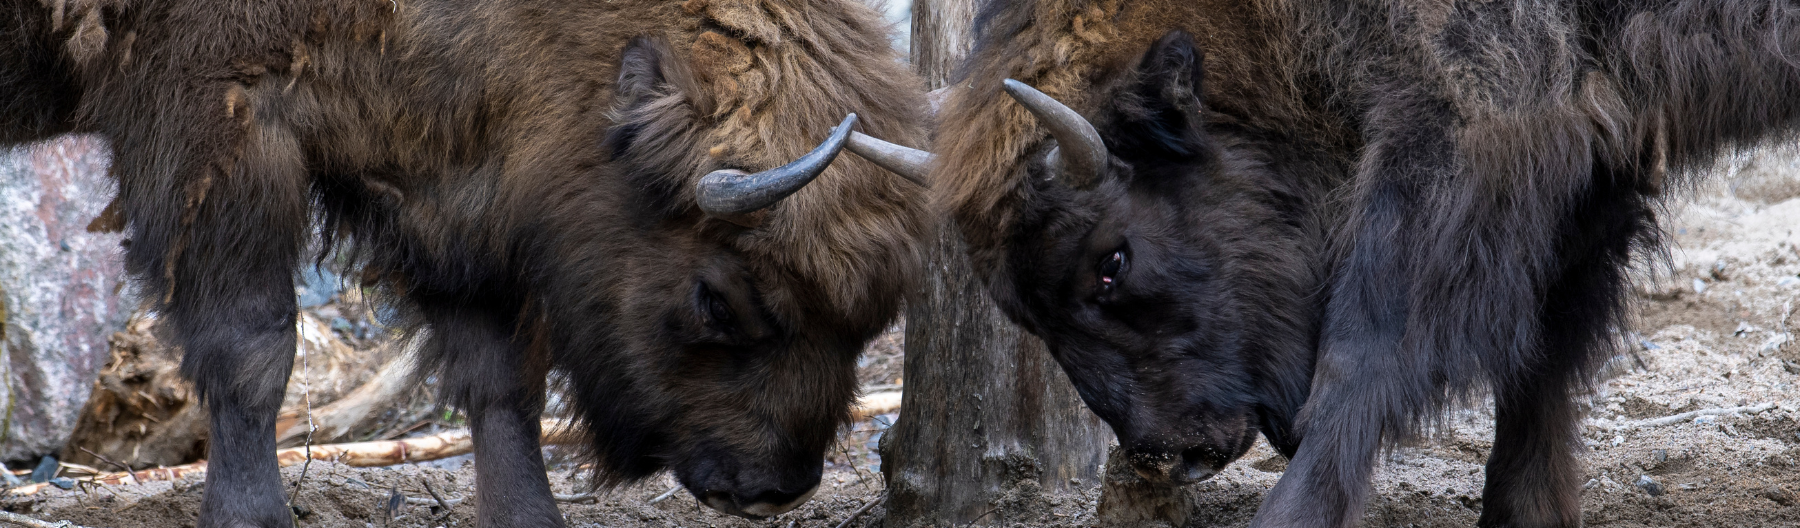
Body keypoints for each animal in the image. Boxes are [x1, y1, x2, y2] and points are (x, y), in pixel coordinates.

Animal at [3, 0, 928, 522]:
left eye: (871, 322)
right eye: (719, 301)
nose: (773, 486)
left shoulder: (456, 179)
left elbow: (501, 384)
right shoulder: (221, 122)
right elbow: (252, 354)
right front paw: (251, 518)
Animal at [853, 0, 1800, 522]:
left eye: (1111, 262)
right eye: (1025, 311)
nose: (1166, 454)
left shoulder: (1460, 130)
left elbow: (1365, 351)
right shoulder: (1585, 155)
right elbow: (1539, 357)